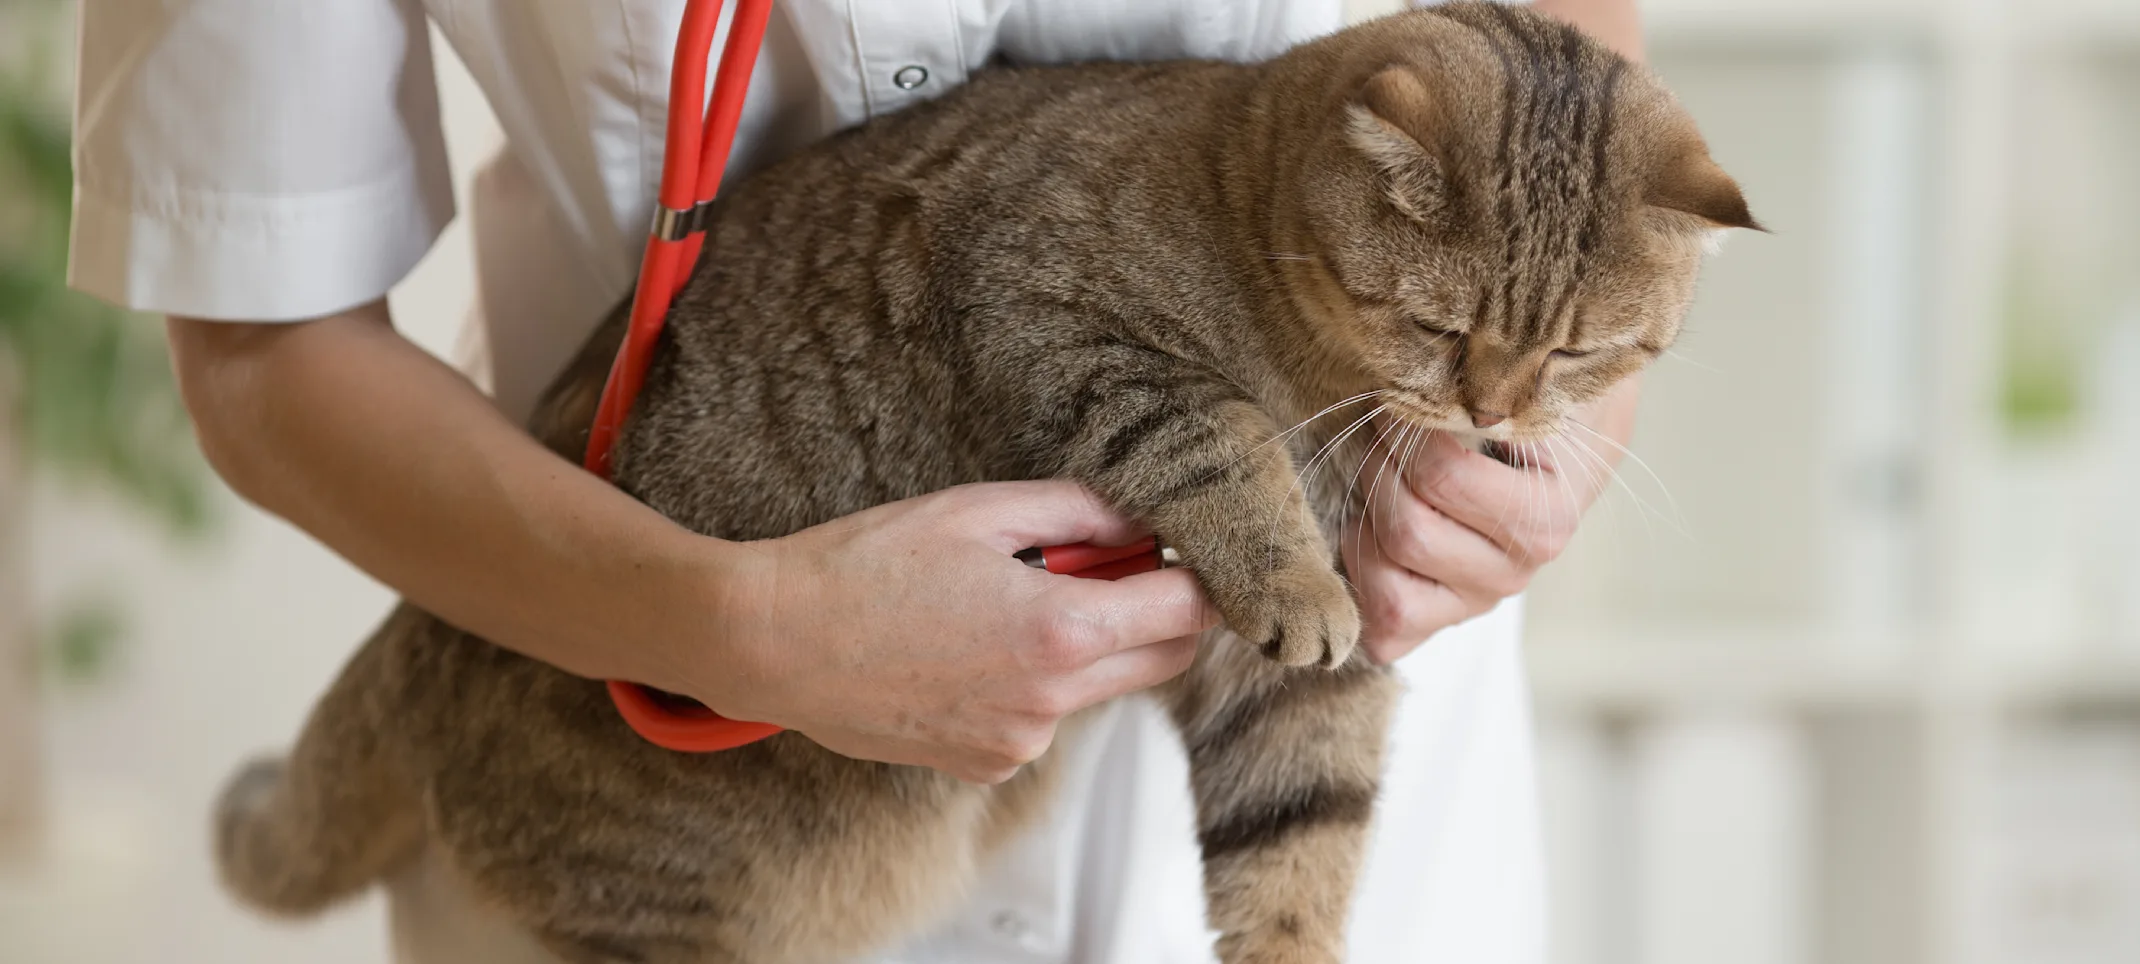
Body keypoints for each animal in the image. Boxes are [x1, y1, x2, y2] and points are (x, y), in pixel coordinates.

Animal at [212, 7, 1754, 964]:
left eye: (1581, 350)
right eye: (1442, 327)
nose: (1493, 410)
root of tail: (416, 633)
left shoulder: (1290, 702)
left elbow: (1296, 851)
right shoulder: (1049, 317)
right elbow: (1215, 438)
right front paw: (1283, 557)